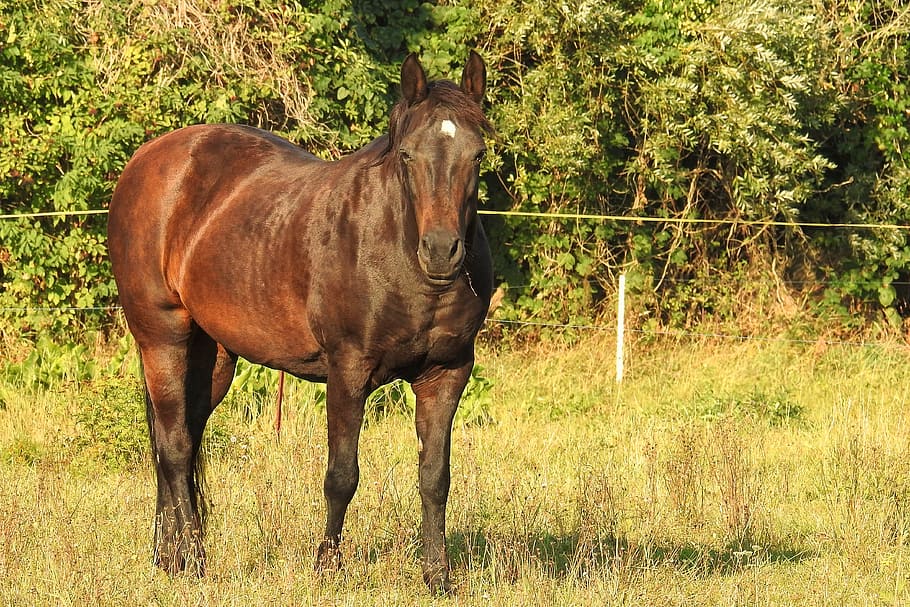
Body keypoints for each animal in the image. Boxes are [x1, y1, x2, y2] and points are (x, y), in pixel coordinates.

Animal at [107, 51, 493, 594]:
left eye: (477, 155)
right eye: (407, 156)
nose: (441, 251)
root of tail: (147, 160)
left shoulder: (447, 374)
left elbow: (435, 478)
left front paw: (438, 576)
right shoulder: (348, 370)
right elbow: (342, 475)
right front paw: (327, 566)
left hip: (213, 356)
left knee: (178, 441)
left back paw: (169, 558)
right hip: (161, 338)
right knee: (176, 446)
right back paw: (196, 562)